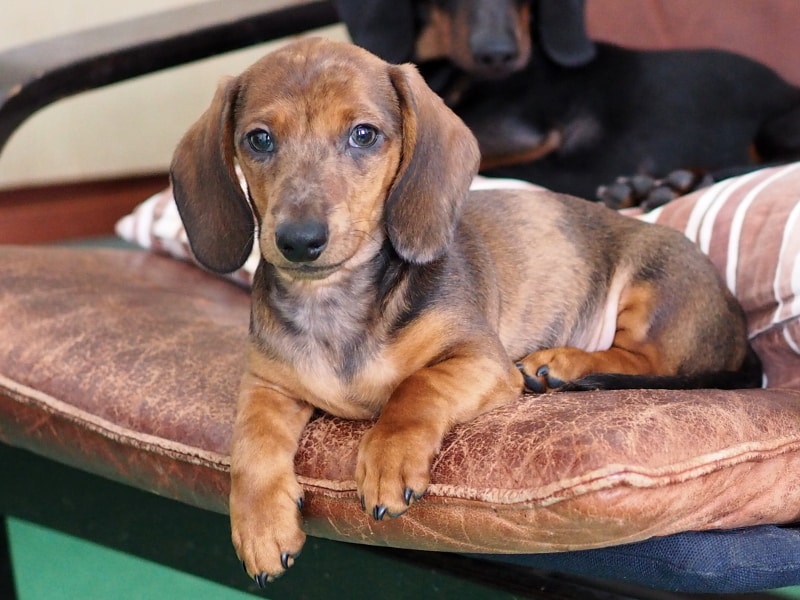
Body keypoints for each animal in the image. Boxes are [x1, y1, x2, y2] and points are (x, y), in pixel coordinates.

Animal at [170, 35, 764, 584]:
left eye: (363, 134)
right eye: (259, 139)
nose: (298, 240)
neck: (337, 303)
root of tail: (738, 324)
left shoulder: (481, 360)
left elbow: (416, 388)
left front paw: (387, 458)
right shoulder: (266, 383)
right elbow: (252, 441)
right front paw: (260, 524)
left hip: (654, 289)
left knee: (643, 362)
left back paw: (559, 363)